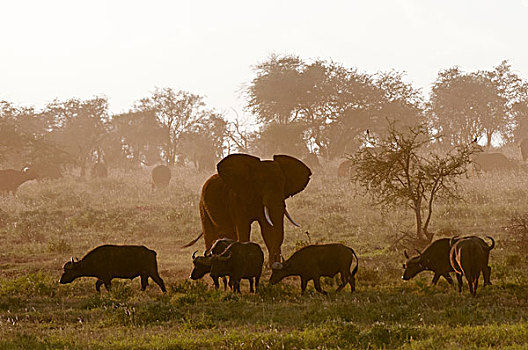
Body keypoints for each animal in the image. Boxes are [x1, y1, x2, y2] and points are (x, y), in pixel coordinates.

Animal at [184, 152, 312, 262]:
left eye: (283, 183)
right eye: (261, 183)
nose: (278, 260)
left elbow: (267, 230)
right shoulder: (237, 198)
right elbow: (243, 229)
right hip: (202, 207)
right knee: (210, 235)